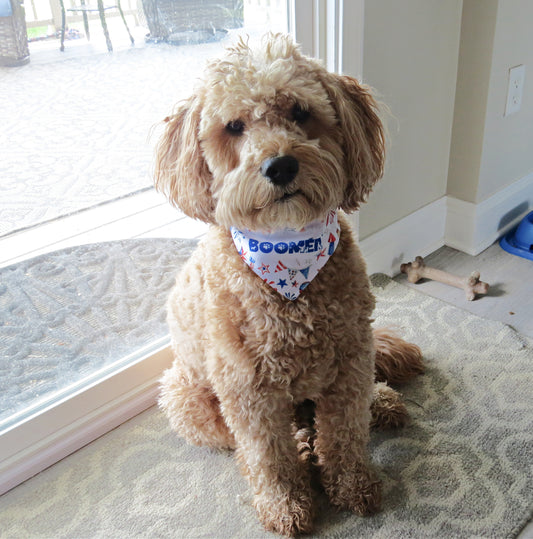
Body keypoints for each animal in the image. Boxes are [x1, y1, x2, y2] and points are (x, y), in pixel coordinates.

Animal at [154, 33, 424, 536]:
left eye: (299, 112)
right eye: (234, 126)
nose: (280, 166)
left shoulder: (350, 361)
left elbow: (344, 432)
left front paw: (353, 484)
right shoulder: (248, 390)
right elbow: (267, 456)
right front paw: (285, 503)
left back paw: (379, 402)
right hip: (185, 396)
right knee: (242, 443)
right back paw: (300, 444)